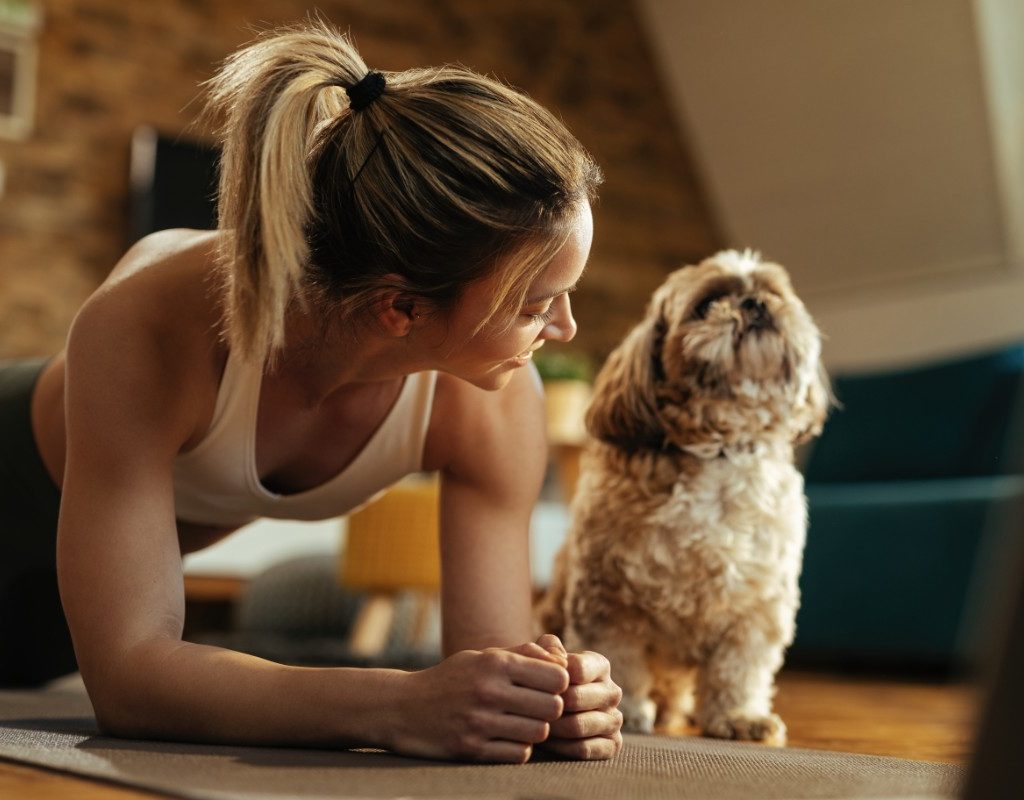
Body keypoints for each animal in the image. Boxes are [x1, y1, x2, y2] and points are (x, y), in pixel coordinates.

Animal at [540, 247, 827, 741]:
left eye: (772, 292)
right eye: (707, 304)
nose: (755, 303)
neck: (720, 452)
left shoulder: (756, 608)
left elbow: (739, 670)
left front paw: (738, 717)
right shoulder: (607, 601)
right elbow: (618, 659)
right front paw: (624, 710)